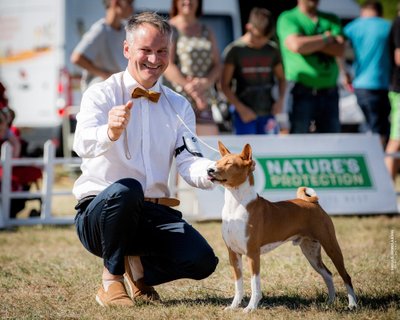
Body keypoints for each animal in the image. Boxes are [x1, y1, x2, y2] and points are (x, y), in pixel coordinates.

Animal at [206, 141, 356, 312]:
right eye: (217, 162)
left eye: (229, 164)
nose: (209, 170)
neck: (236, 205)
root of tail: (313, 203)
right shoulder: (233, 253)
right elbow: (239, 285)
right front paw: (233, 307)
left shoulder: (252, 253)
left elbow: (254, 284)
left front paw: (251, 308)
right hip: (311, 253)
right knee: (328, 274)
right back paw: (330, 302)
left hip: (331, 246)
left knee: (345, 276)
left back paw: (352, 304)